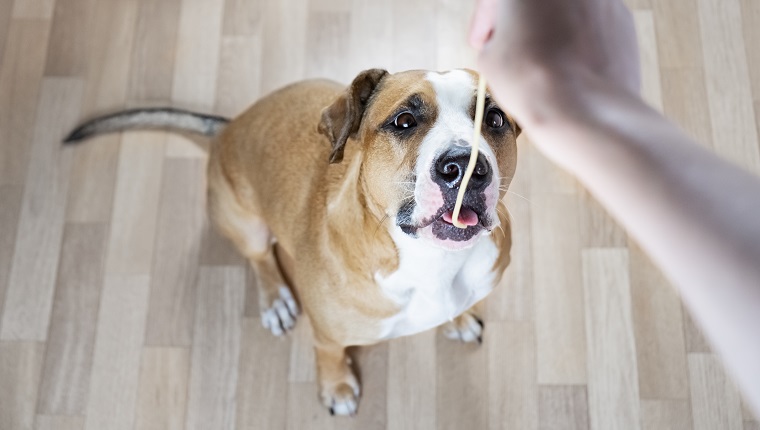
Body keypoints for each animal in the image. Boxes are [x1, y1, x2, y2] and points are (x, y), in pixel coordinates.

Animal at [65, 69, 520, 414]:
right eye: (404, 121)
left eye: (495, 119)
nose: (465, 166)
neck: (431, 262)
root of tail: (228, 127)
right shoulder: (327, 333)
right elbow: (329, 354)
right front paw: (337, 388)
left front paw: (459, 318)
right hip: (244, 222)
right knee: (260, 258)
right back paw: (276, 301)